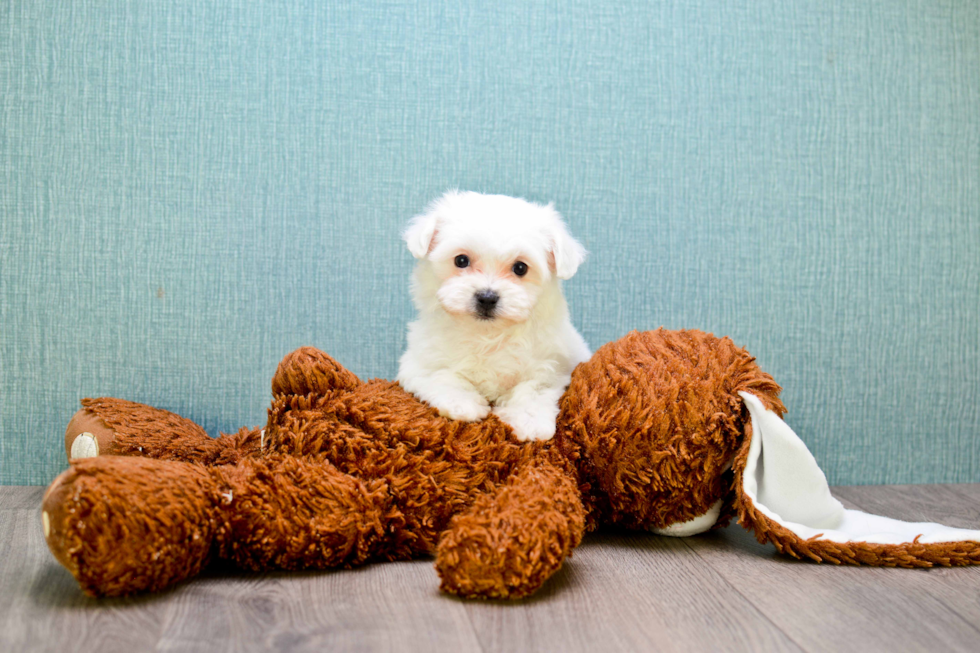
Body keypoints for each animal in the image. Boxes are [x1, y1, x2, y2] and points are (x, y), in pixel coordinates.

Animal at [396, 191, 588, 440]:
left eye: (520, 268)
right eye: (461, 260)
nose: (487, 297)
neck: (487, 335)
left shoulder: (552, 367)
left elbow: (534, 389)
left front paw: (531, 421)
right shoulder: (419, 362)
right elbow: (441, 375)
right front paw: (463, 404)